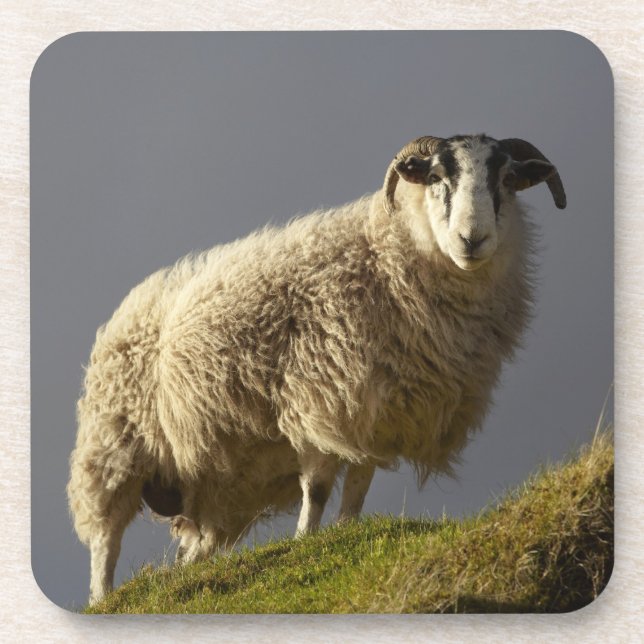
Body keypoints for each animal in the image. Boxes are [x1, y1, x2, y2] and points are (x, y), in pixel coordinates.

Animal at [67, 133, 566, 604]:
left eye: (507, 179)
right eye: (437, 176)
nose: (472, 240)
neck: (387, 254)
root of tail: (124, 313)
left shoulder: (376, 415)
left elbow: (359, 485)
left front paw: (347, 532)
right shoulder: (317, 398)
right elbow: (319, 487)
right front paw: (306, 541)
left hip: (216, 487)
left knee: (194, 547)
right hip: (113, 450)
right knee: (106, 541)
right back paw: (104, 598)